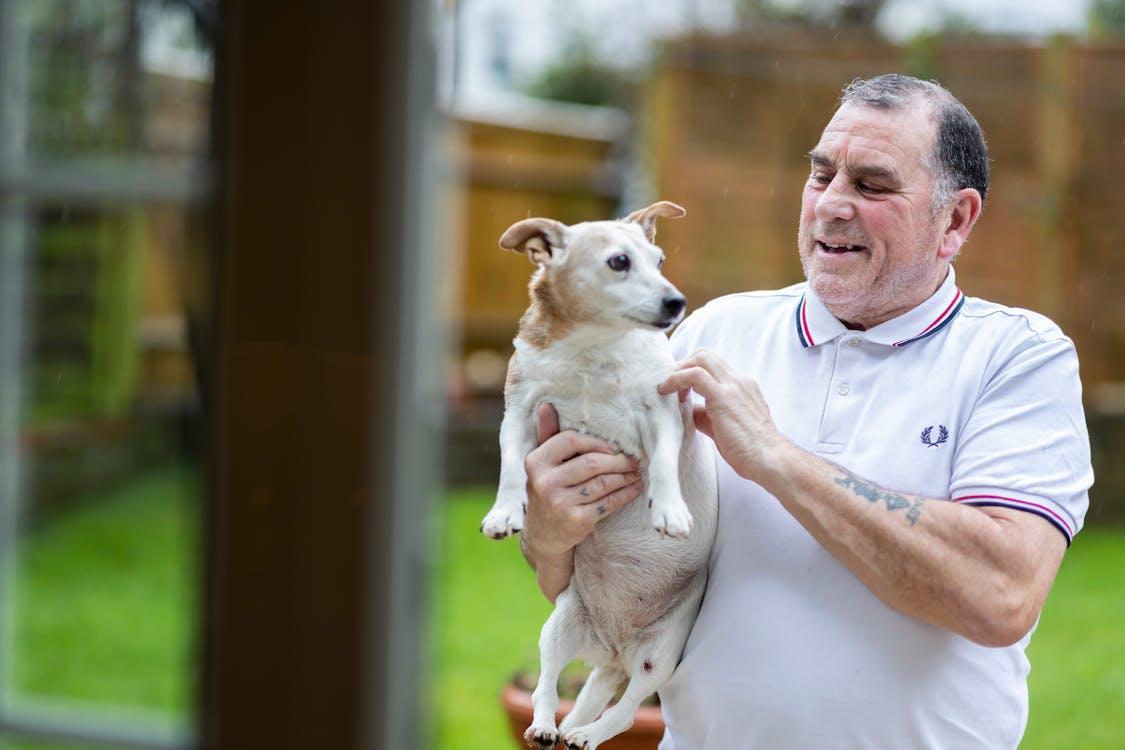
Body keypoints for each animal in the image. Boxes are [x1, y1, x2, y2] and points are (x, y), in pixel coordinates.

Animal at [479, 202, 715, 750]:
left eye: (660, 259)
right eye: (618, 262)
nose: (676, 301)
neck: (593, 348)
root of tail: (612, 648)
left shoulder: (662, 412)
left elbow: (665, 462)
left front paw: (669, 510)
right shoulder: (519, 415)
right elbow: (511, 467)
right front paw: (504, 513)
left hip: (658, 656)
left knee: (625, 712)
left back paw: (587, 733)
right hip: (559, 626)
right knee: (546, 684)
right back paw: (548, 727)